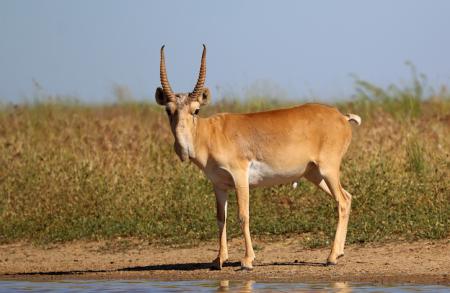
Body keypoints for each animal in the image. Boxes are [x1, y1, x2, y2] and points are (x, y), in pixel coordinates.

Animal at [155, 44, 362, 270]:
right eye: (168, 110)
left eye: (196, 110)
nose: (182, 148)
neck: (210, 133)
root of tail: (342, 117)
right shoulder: (219, 184)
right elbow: (221, 218)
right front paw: (219, 260)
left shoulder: (240, 177)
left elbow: (243, 215)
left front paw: (247, 260)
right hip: (314, 174)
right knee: (348, 197)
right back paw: (338, 253)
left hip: (328, 169)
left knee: (342, 201)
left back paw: (331, 257)